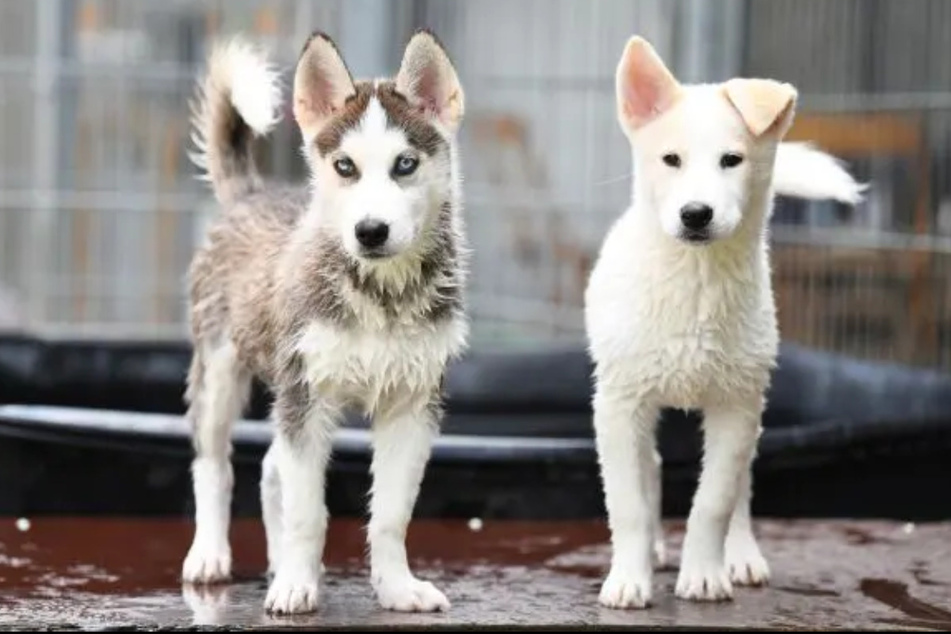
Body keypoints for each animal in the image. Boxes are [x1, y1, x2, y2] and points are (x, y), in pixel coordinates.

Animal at [179, 29, 468, 612]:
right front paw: (296, 586)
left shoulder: (414, 405)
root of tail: (250, 193)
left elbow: (391, 515)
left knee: (272, 469)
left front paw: (397, 588)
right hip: (221, 368)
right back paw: (210, 555)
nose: (370, 231)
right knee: (214, 464)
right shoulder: (306, 397)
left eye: (405, 165)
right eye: (345, 167)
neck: (381, 294)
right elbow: (307, 513)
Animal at [584, 35, 868, 608]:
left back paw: (740, 556)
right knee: (651, 468)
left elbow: (713, 502)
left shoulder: (737, 407)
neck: (697, 283)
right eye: (670, 160)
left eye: (732, 160)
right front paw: (628, 579)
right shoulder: (619, 405)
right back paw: (653, 551)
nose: (696, 214)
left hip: (750, 409)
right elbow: (627, 503)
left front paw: (705, 575)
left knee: (740, 487)